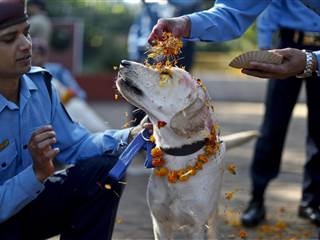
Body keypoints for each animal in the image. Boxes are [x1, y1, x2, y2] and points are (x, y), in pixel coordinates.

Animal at [116, 59, 256, 238]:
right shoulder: (160, 223)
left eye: (165, 74)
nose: (123, 62)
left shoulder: (197, 226)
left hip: (212, 214)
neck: (178, 157)